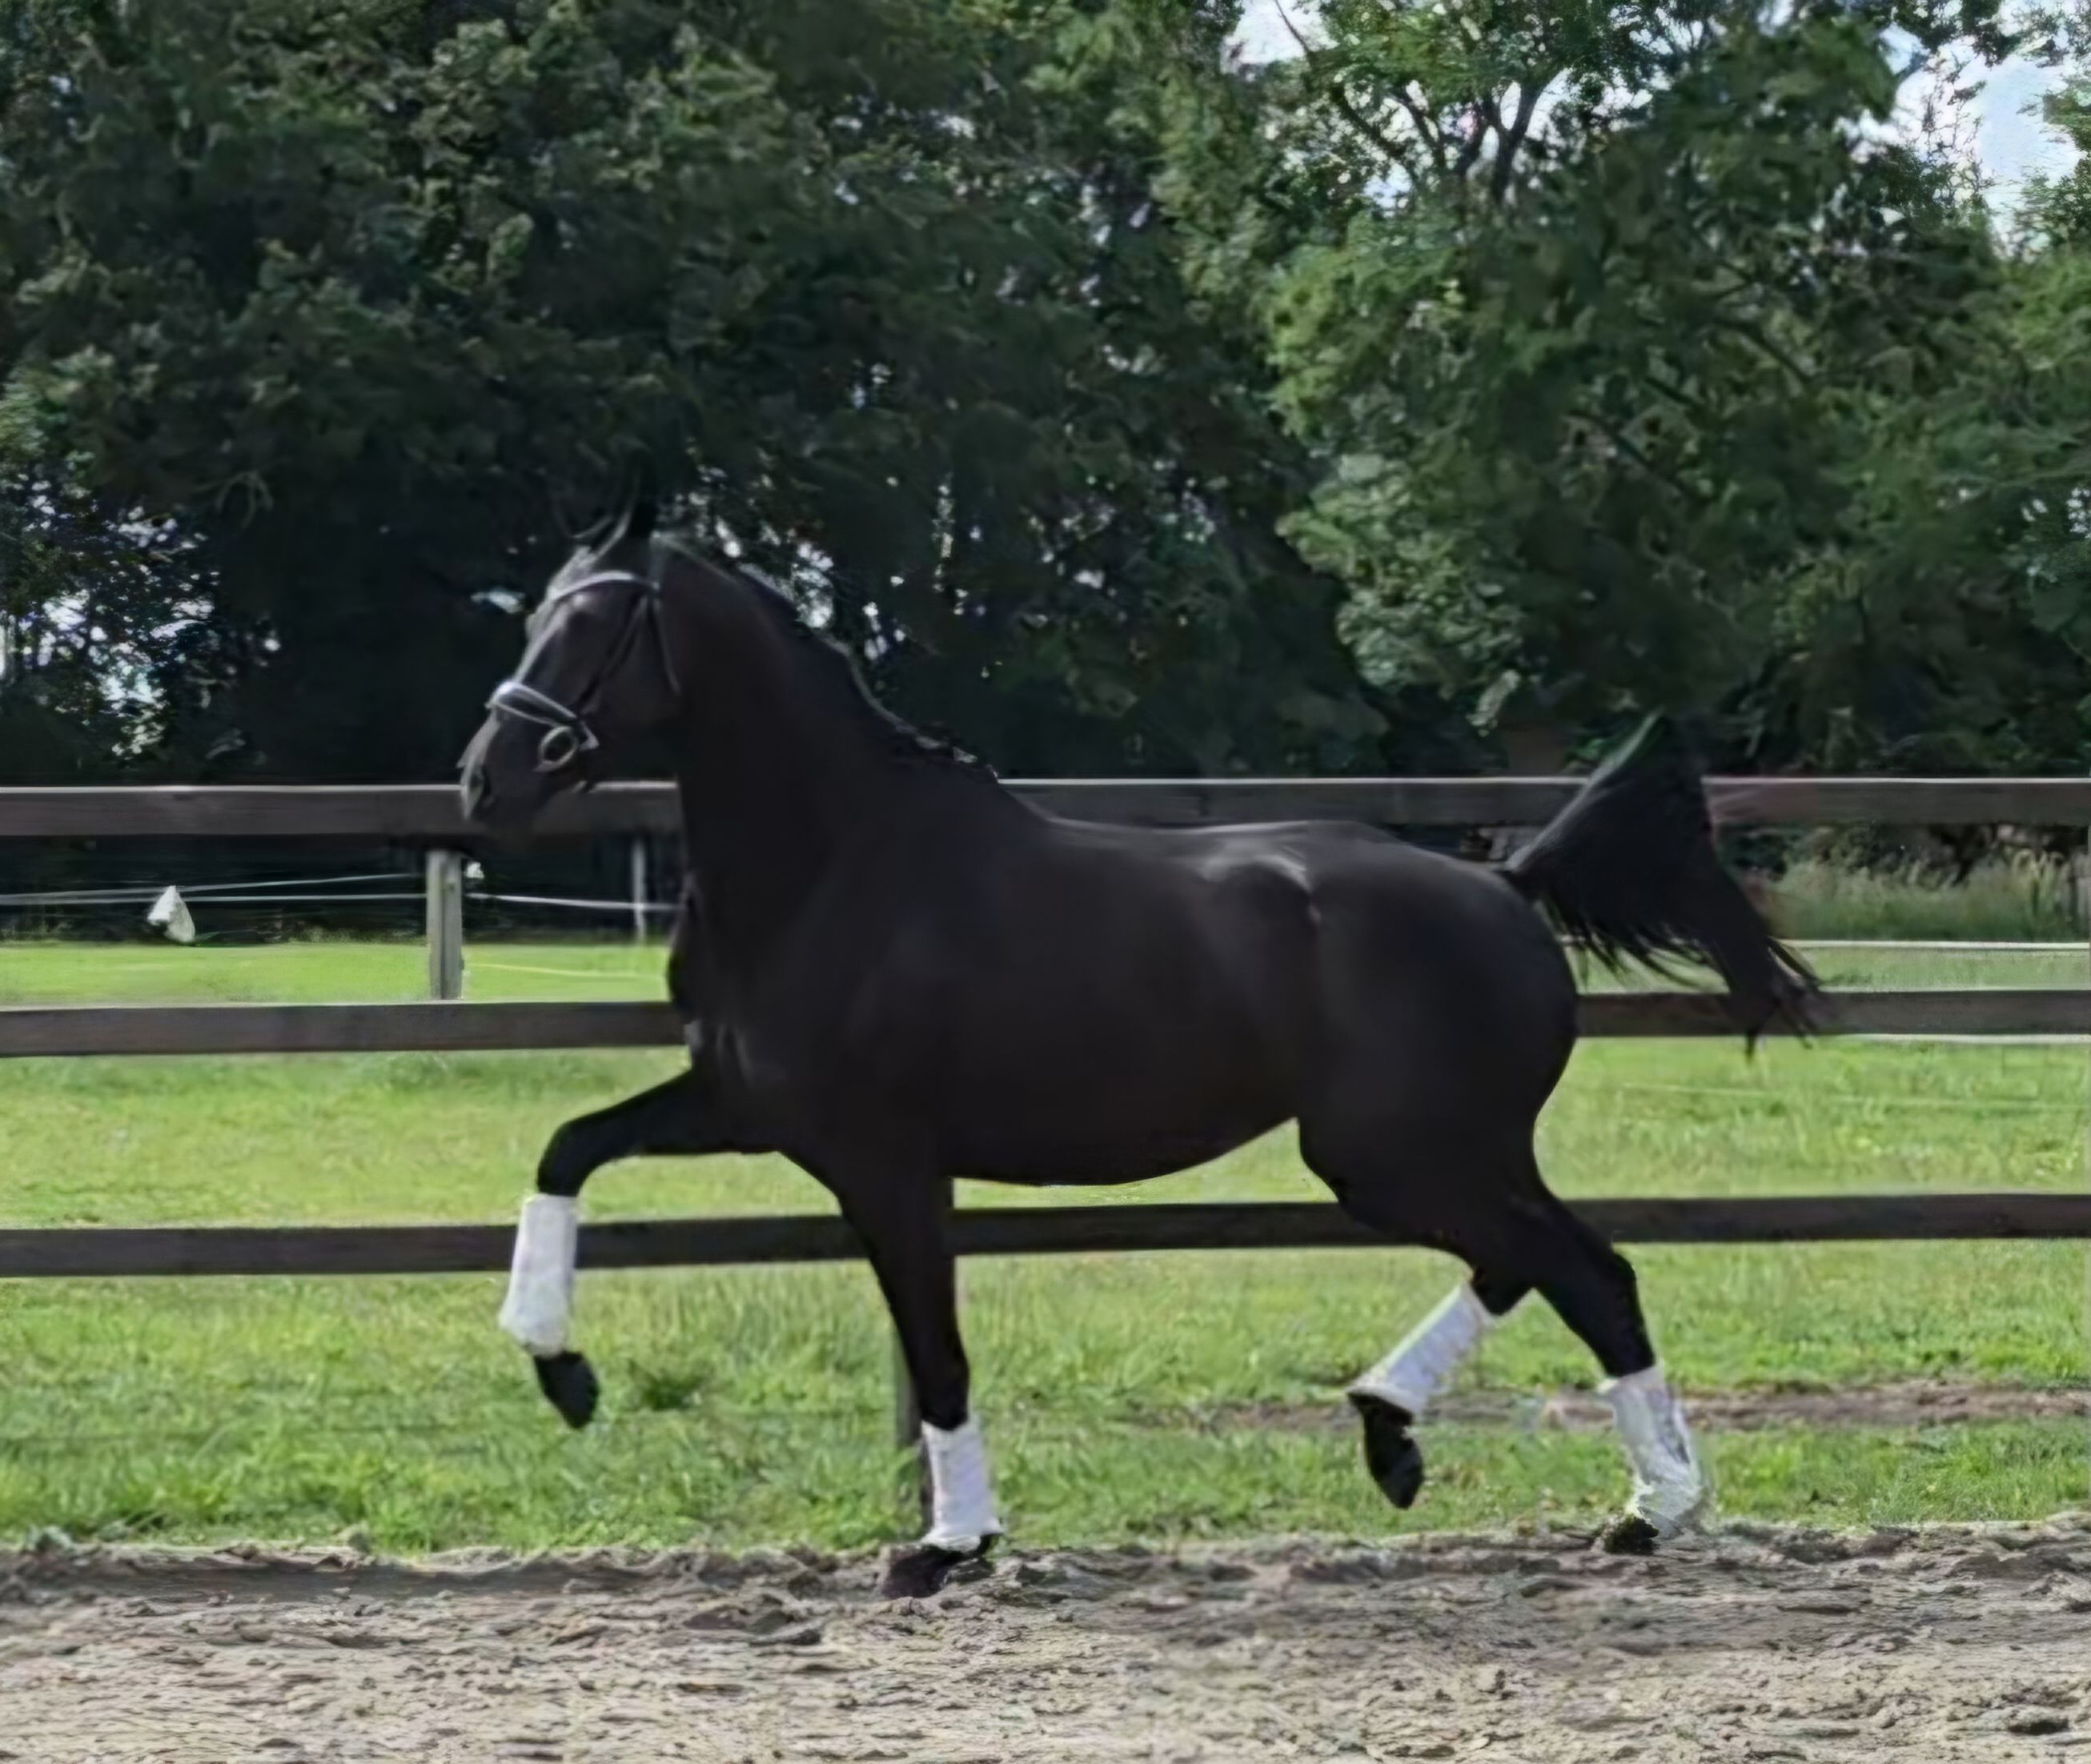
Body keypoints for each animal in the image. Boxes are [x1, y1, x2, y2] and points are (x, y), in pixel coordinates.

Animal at [458, 512, 1815, 1597]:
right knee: (1557, 1264)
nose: (487, 781)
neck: (837, 869)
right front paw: (561, 1371)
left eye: (596, 629)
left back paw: (1608, 1499)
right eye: (533, 617)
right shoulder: (748, 1105)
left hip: (1393, 1155)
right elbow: (567, 1149)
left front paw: (947, 1546)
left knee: (1576, 1271)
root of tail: (1508, 887)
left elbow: (935, 1346)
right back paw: (1458, 1454)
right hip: (1447, 1150)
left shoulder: (883, 1160)